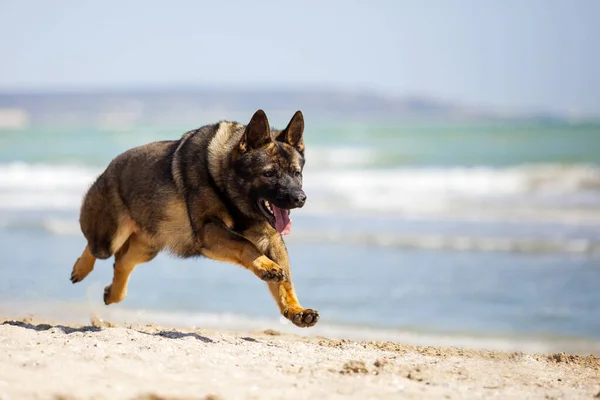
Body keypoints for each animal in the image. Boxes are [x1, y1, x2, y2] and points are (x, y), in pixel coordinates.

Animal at [69, 109, 318, 328]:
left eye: (296, 173)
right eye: (268, 174)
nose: (300, 198)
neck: (225, 178)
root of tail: (109, 168)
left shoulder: (272, 240)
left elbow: (285, 282)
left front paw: (295, 309)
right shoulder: (209, 230)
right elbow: (246, 245)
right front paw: (265, 265)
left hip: (147, 249)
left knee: (121, 263)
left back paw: (113, 293)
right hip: (110, 237)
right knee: (96, 247)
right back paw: (80, 269)